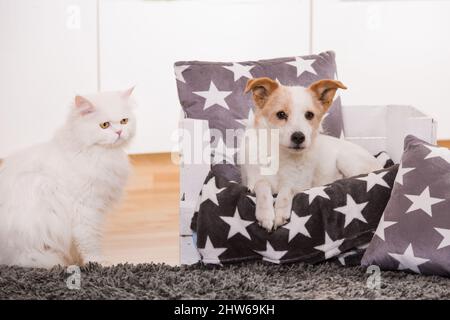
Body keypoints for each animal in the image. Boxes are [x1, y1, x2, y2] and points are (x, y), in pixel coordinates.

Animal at [0, 87, 135, 268]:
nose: (119, 132)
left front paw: (80, 260)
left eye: (124, 121)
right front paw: (97, 262)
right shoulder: (86, 208)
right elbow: (89, 240)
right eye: (104, 125)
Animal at [241, 78, 382, 231]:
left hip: (347, 160)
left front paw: (280, 212)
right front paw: (265, 215)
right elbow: (262, 185)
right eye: (281, 114)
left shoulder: (300, 185)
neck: (282, 155)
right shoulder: (253, 182)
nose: (298, 137)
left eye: (309, 115)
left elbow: (286, 190)